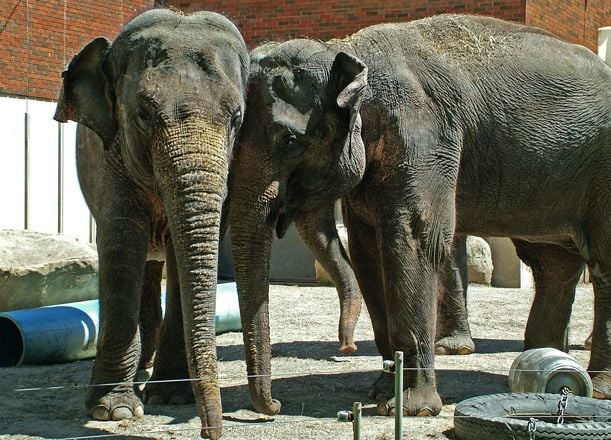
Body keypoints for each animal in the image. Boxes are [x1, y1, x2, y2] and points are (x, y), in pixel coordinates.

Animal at [52, 8, 251, 438]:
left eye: (237, 118)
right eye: (142, 115)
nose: (210, 431)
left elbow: (182, 256)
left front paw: (171, 398)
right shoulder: (110, 158)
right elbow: (121, 244)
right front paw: (114, 411)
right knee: (142, 268)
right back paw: (140, 370)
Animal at [230, 14, 611, 420]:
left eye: (289, 141)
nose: (273, 406)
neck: (348, 51)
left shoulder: (425, 137)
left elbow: (412, 240)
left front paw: (415, 408)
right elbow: (368, 253)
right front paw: (382, 395)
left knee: (600, 264)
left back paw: (598, 388)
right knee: (552, 265)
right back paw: (542, 370)